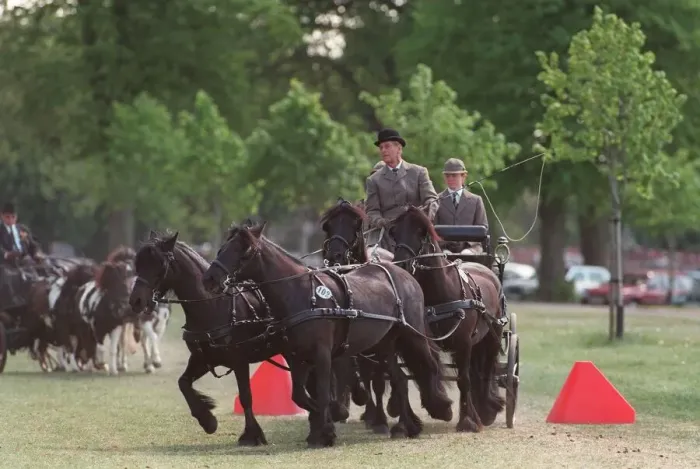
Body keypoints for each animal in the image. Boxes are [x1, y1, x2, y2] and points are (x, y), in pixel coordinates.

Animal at [128, 230, 353, 446]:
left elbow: (246, 396)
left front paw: (251, 435)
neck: (213, 305)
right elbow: (183, 383)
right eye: (137, 263)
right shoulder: (203, 358)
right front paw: (207, 420)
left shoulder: (239, 360)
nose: (136, 300)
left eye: (160, 264)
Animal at [202, 220, 453, 448]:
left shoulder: (321, 354)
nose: (210, 279)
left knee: (429, 366)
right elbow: (300, 396)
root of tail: (405, 274)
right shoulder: (296, 357)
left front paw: (326, 431)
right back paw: (406, 426)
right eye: (222, 248)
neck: (301, 294)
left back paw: (440, 408)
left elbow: (322, 393)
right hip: (383, 345)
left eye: (243, 251)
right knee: (400, 379)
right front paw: (324, 424)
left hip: (413, 336)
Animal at [390, 206, 506, 432]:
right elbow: (427, 368)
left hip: (493, 336)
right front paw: (440, 407)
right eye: (394, 232)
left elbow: (464, 379)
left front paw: (468, 421)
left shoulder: (464, 343)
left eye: (421, 232)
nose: (402, 265)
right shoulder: (420, 339)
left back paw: (486, 409)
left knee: (487, 370)